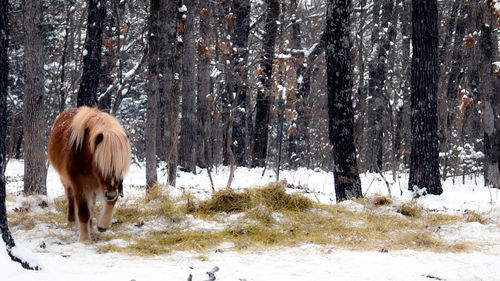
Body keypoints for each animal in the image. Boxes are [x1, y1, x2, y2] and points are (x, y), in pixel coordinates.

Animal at [48, 105, 131, 241]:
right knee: (70, 197)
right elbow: (83, 211)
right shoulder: (79, 185)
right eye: (100, 164)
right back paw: (71, 221)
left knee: (91, 206)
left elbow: (108, 203)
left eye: (120, 167)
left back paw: (91, 227)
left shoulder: (105, 186)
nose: (110, 194)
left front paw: (102, 225)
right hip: (66, 180)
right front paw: (84, 239)